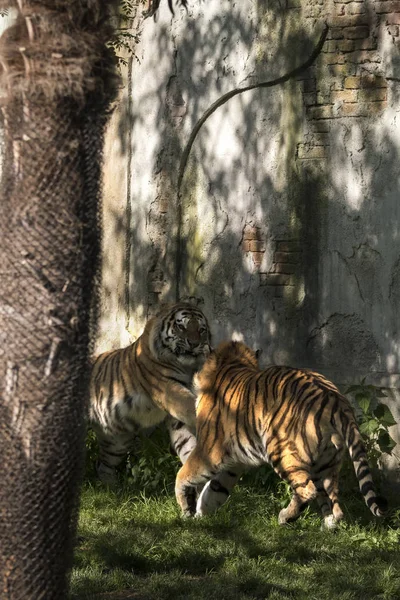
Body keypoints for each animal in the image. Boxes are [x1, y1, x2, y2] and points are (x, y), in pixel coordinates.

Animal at [89, 302, 241, 508]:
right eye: (181, 326)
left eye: (201, 330)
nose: (194, 343)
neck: (187, 366)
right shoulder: (169, 390)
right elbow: (191, 406)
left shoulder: (175, 417)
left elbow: (187, 444)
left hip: (117, 441)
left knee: (102, 464)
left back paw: (113, 490)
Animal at [176, 340, 388, 528]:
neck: (232, 364)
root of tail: (336, 400)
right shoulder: (234, 463)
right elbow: (214, 490)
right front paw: (200, 515)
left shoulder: (208, 449)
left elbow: (184, 474)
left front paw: (186, 509)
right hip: (326, 464)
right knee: (333, 500)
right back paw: (328, 526)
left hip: (281, 450)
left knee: (307, 491)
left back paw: (285, 517)